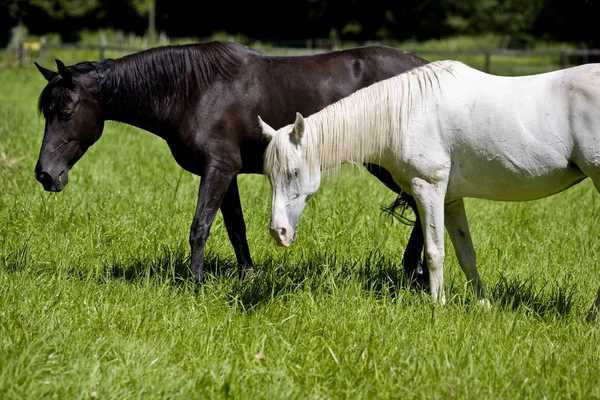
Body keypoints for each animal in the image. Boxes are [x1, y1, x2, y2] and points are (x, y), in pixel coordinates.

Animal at [34, 40, 426, 284]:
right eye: (46, 113)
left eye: (66, 112)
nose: (45, 175)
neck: (193, 91)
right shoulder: (228, 174)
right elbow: (236, 228)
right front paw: (246, 276)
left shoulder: (218, 169)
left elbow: (200, 227)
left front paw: (196, 284)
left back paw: (415, 272)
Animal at [260, 59, 600, 320]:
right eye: (270, 177)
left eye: (293, 172)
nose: (278, 232)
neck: (407, 112)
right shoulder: (451, 199)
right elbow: (466, 254)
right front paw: (483, 305)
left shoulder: (428, 189)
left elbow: (435, 252)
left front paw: (438, 307)